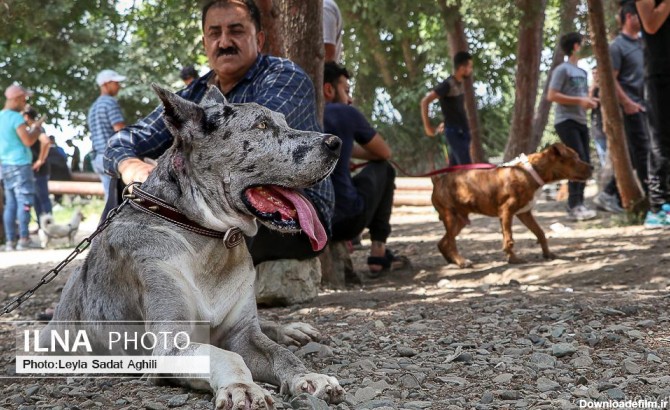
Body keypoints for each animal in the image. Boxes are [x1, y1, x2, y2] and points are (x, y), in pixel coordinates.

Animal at [43, 85, 346, 408]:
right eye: (262, 125)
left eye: (284, 121)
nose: (335, 143)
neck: (208, 237)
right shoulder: (170, 345)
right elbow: (225, 355)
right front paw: (242, 386)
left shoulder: (243, 333)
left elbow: (279, 353)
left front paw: (308, 376)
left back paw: (292, 330)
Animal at [430, 143, 592, 268]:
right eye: (575, 157)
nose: (593, 167)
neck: (530, 172)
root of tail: (437, 181)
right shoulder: (506, 212)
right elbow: (509, 240)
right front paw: (513, 259)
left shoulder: (524, 213)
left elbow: (540, 233)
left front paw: (548, 254)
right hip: (450, 217)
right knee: (451, 243)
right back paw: (461, 261)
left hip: (460, 220)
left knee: (442, 242)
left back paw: (451, 261)